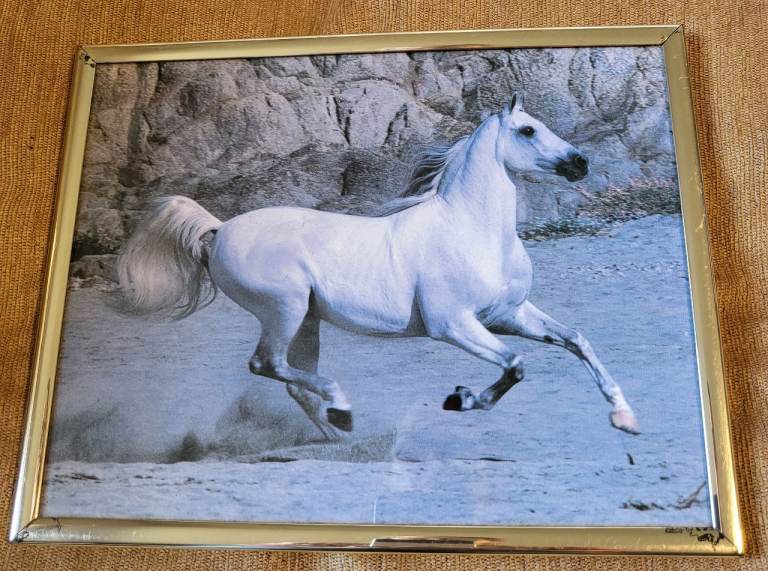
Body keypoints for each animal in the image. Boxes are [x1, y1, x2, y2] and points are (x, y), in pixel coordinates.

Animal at [117, 93, 639, 441]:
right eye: (527, 130)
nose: (580, 163)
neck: (472, 230)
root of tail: (220, 227)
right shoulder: (454, 325)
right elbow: (515, 365)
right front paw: (463, 399)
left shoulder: (507, 314)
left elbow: (575, 340)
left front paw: (624, 418)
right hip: (284, 310)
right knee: (267, 364)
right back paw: (342, 412)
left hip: (306, 320)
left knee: (292, 381)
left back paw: (338, 435)